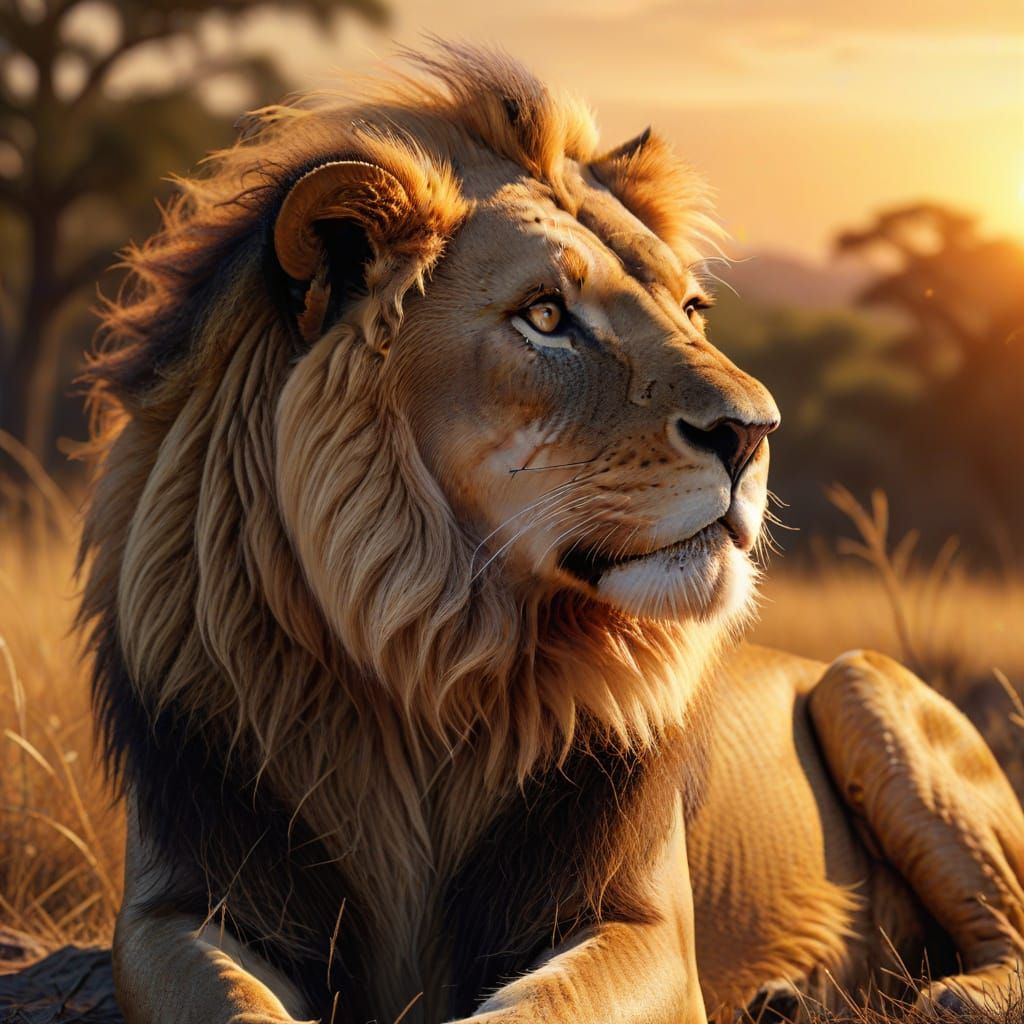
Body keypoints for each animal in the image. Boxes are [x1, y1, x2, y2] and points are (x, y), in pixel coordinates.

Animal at [78, 43, 1024, 1024]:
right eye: (544, 316)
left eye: (691, 310)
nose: (757, 431)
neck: (429, 661)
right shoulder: (174, 905)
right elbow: (231, 1001)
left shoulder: (647, 928)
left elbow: (537, 1007)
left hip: (861, 682)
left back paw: (946, 995)